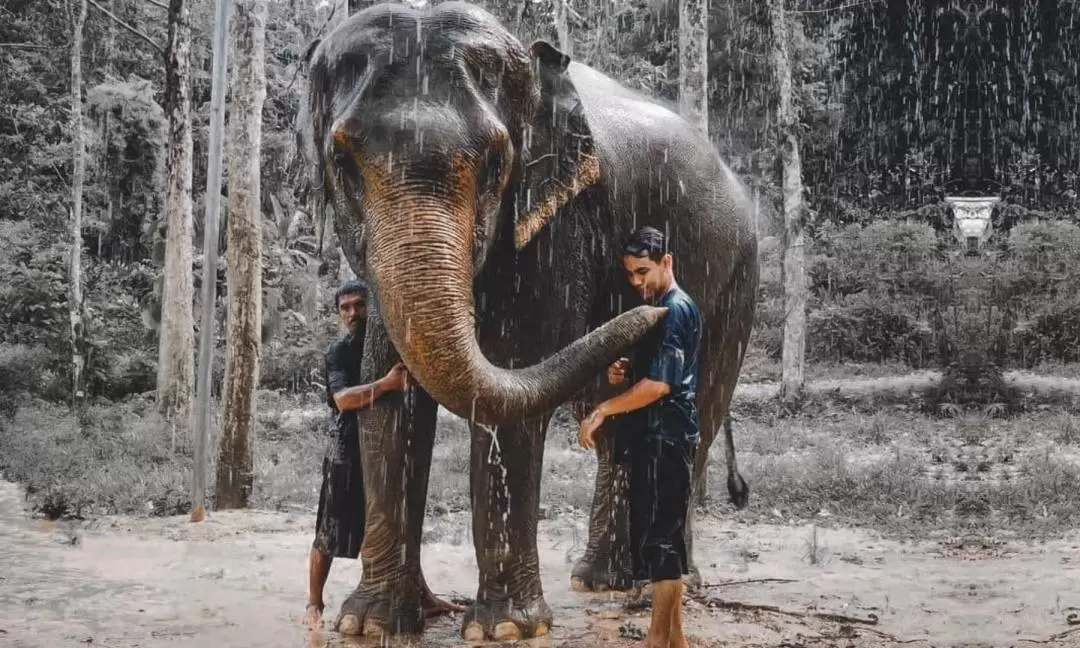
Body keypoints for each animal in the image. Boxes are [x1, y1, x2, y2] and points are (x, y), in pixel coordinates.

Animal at [295, 1, 760, 643]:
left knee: (697, 415)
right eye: (342, 162)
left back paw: (660, 583)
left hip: (735, 282)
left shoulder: (555, 227)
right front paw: (370, 623)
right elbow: (388, 405)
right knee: (614, 419)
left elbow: (510, 387)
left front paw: (504, 630)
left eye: (497, 163)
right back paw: (600, 581)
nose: (650, 305)